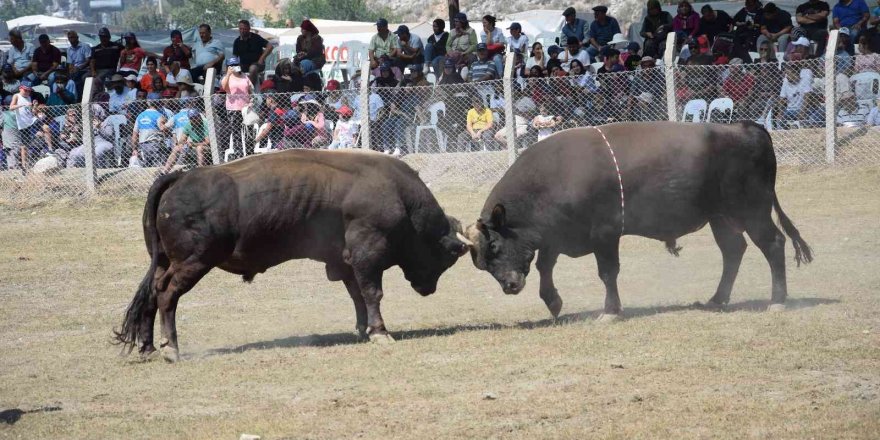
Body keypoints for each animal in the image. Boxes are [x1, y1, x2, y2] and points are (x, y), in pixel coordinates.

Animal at [117, 150, 474, 362]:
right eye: (449, 256)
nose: (428, 288)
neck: (399, 195)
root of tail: (180, 177)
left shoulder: (345, 262)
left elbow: (357, 296)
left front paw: (361, 330)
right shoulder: (367, 255)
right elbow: (372, 293)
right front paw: (380, 333)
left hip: (165, 262)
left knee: (152, 294)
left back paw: (148, 347)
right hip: (193, 262)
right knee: (167, 294)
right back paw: (171, 349)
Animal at [464, 122, 816, 322]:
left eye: (494, 246)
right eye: (482, 262)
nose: (509, 286)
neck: (552, 176)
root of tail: (750, 128)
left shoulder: (604, 234)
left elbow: (607, 272)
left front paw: (610, 311)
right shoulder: (555, 237)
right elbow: (544, 266)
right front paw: (553, 301)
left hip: (752, 211)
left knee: (773, 244)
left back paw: (777, 301)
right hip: (720, 218)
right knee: (733, 251)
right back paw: (717, 299)